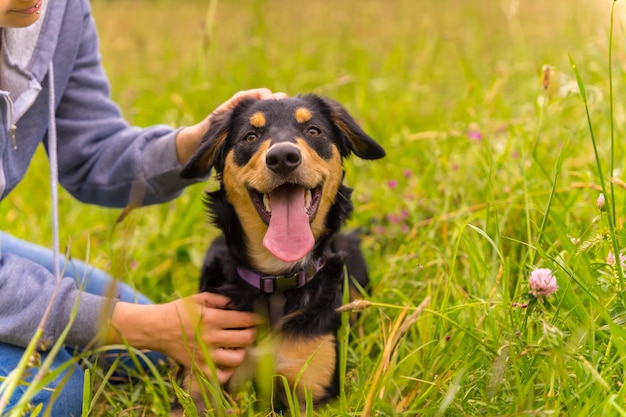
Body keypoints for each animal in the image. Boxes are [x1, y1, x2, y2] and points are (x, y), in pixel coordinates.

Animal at [173, 93, 382, 412]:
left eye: (313, 131)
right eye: (250, 136)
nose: (283, 157)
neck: (275, 279)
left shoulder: (315, 392)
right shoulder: (197, 384)